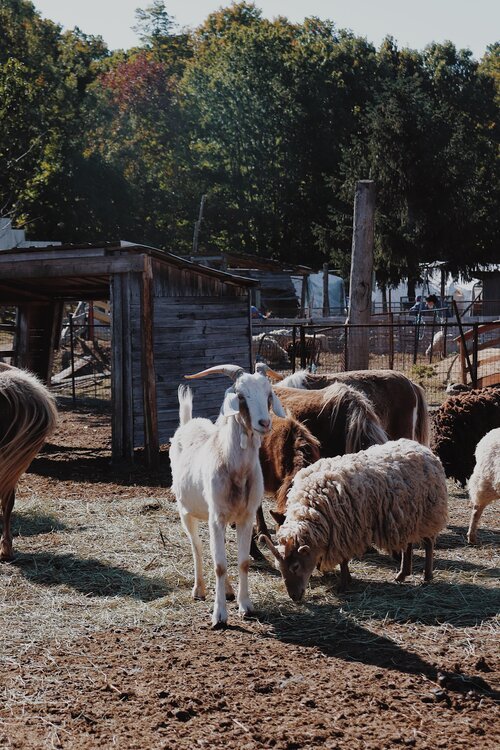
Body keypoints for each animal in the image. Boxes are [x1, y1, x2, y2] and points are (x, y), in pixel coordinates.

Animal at [169, 364, 284, 628]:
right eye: (240, 395)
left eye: (268, 394)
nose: (264, 423)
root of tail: (187, 423)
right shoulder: (217, 516)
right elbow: (219, 565)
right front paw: (219, 615)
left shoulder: (245, 516)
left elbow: (242, 561)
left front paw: (246, 606)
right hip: (186, 511)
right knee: (198, 547)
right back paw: (199, 589)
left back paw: (230, 591)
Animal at [262, 440, 450, 604]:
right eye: (279, 568)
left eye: (295, 566)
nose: (294, 597)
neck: (311, 508)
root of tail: (423, 448)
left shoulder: (345, 530)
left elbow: (343, 560)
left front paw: (344, 583)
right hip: (407, 516)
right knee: (409, 543)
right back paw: (403, 574)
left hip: (428, 513)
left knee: (428, 543)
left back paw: (427, 575)